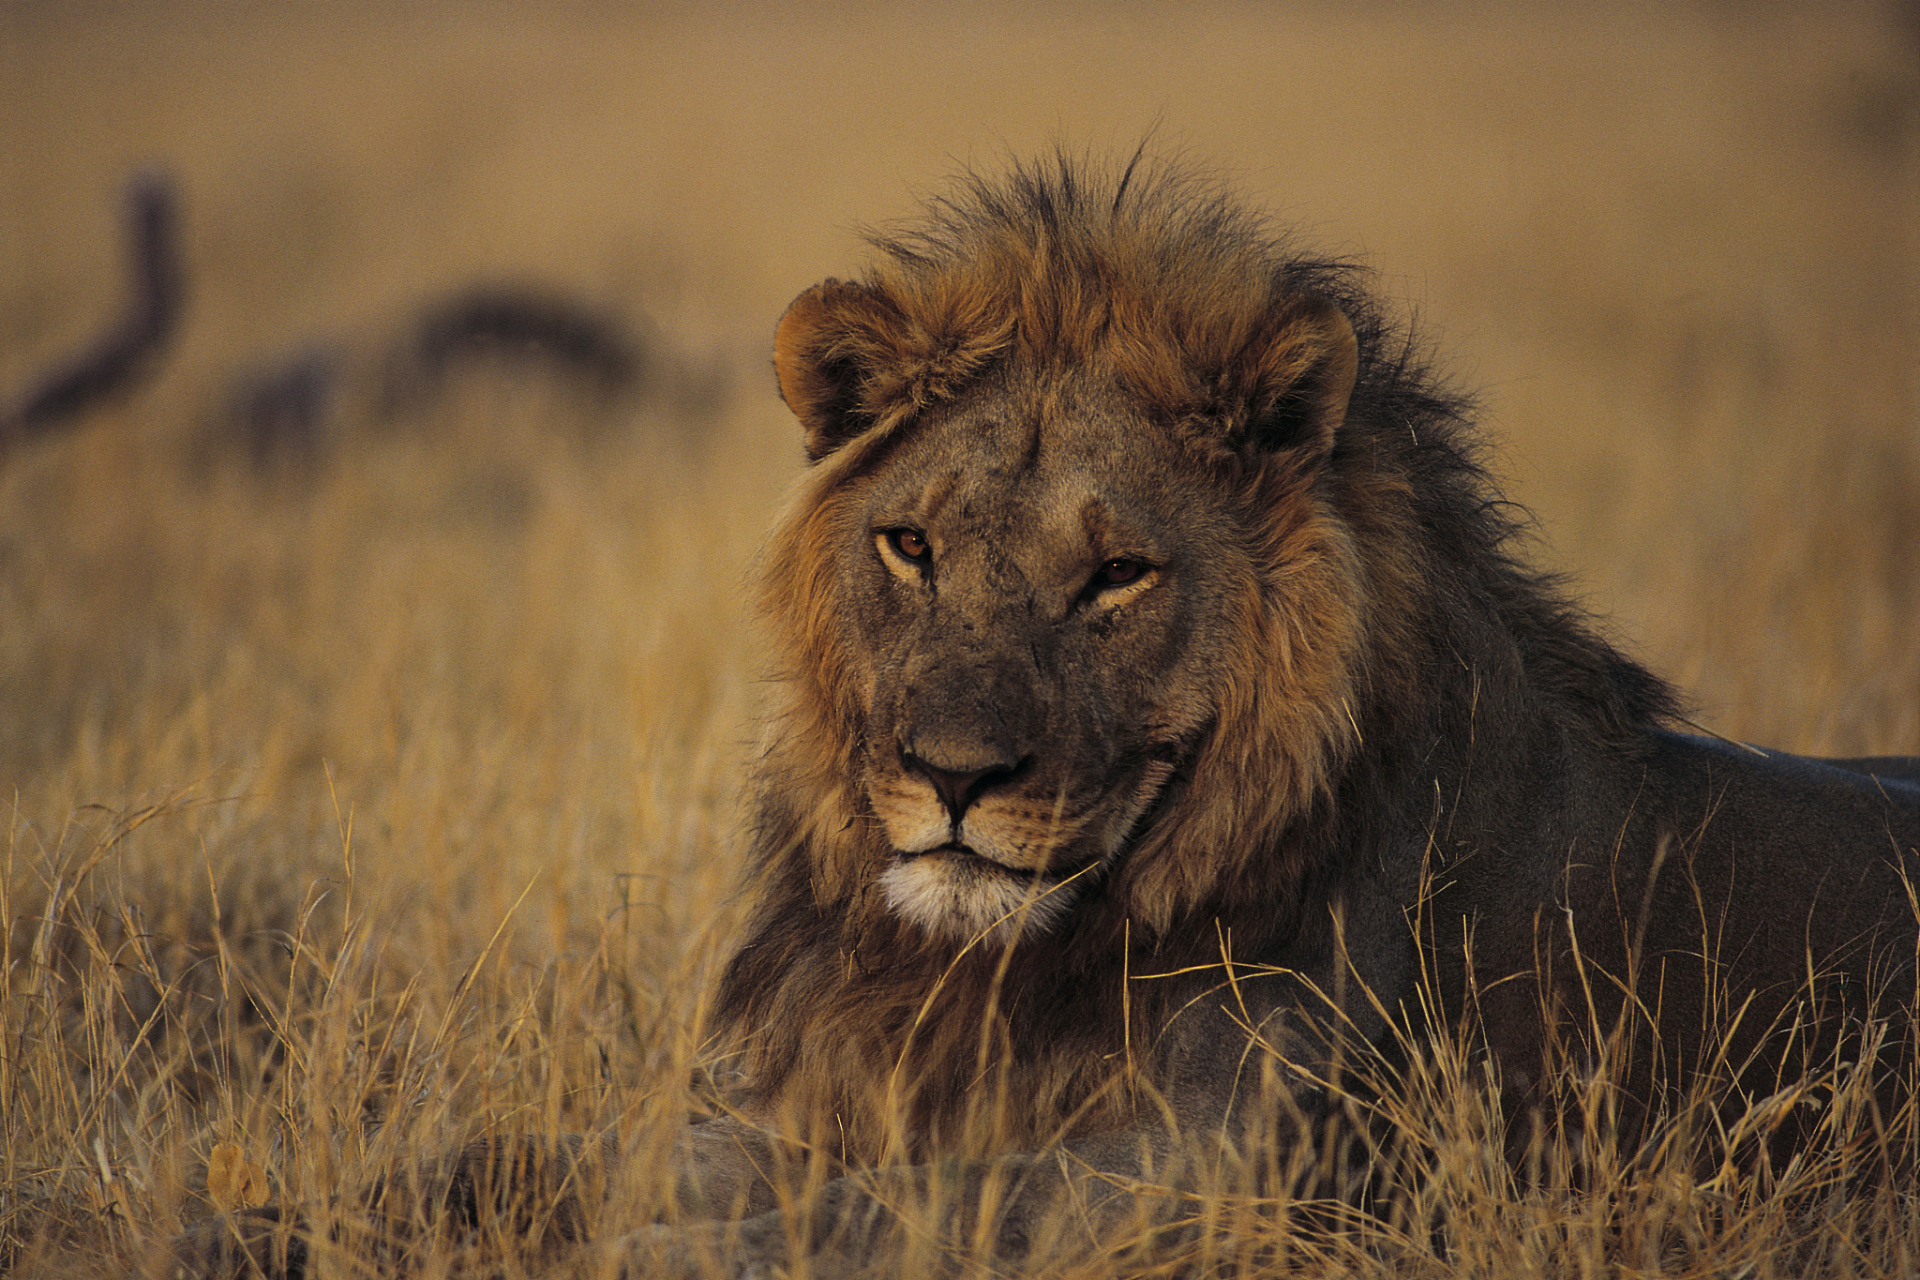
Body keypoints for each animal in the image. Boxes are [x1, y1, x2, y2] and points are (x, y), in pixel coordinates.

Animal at [176, 157, 1920, 1280]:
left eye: (1118, 577)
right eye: (910, 547)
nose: (952, 777)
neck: (976, 975)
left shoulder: (1207, 1184)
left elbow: (871, 1221)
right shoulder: (786, 1106)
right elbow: (519, 1159)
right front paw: (233, 1220)